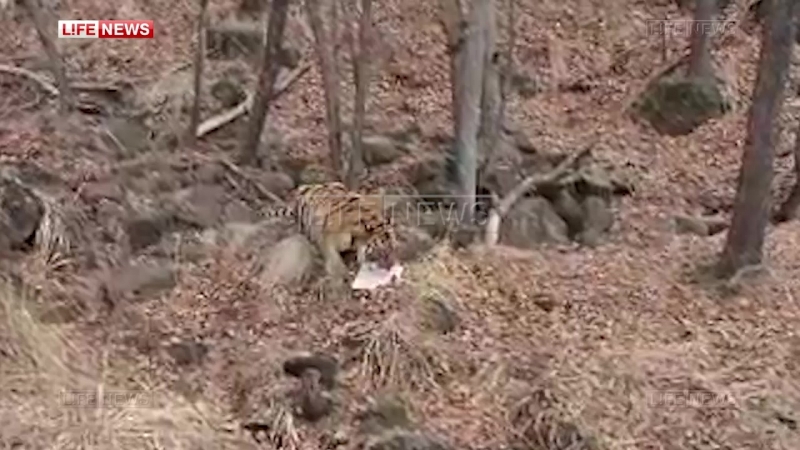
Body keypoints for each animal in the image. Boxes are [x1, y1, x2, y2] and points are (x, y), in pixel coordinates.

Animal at [265, 181, 398, 289]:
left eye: (394, 248)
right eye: (382, 252)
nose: (392, 266)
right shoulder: (326, 238)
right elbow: (334, 258)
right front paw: (343, 274)